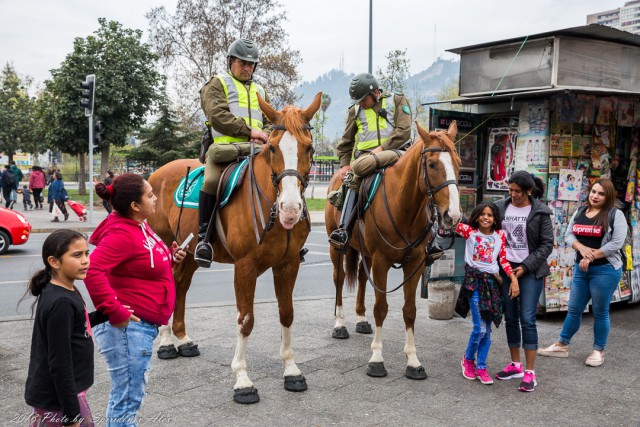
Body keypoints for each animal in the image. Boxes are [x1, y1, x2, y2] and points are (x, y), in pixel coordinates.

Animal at [148, 93, 322, 404]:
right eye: (273, 148)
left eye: (309, 147)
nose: (291, 209)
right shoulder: (245, 267)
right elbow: (246, 320)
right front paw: (242, 379)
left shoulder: (288, 264)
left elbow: (287, 313)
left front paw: (291, 369)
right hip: (167, 244)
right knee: (168, 285)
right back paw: (167, 341)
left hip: (189, 252)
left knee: (180, 285)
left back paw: (182, 338)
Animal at [324, 120, 460, 378]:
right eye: (432, 164)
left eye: (457, 163)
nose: (453, 215)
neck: (405, 208)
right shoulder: (381, 262)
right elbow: (381, 308)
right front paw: (377, 358)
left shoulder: (414, 264)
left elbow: (409, 310)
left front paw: (413, 361)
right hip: (338, 249)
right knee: (338, 278)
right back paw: (339, 323)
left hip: (365, 253)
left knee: (361, 278)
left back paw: (361, 318)